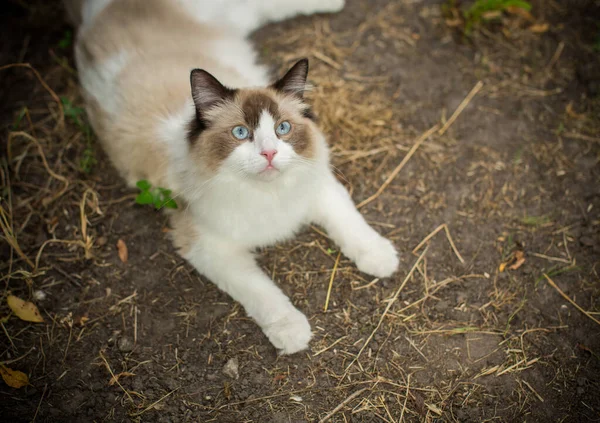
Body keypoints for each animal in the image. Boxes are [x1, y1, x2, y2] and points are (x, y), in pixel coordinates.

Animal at [65, 0, 398, 354]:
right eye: (241, 133)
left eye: (282, 128)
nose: (269, 154)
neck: (267, 195)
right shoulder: (210, 248)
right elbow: (263, 292)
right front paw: (292, 332)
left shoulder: (319, 187)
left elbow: (352, 227)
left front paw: (382, 259)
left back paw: (333, 4)